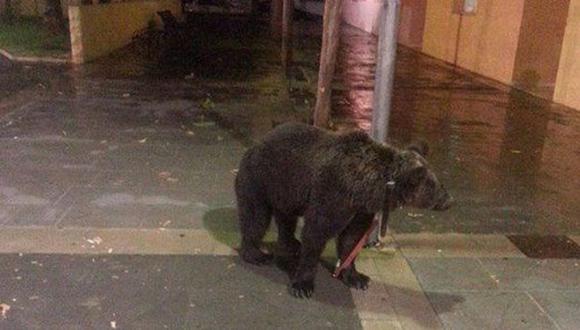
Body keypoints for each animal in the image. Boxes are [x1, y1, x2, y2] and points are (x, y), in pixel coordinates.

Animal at [233, 122, 450, 298]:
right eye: (434, 186)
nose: (450, 200)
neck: (368, 186)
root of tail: (256, 143)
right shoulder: (333, 194)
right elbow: (317, 232)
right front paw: (303, 285)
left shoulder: (361, 209)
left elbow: (351, 239)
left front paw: (357, 277)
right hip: (260, 179)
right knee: (256, 217)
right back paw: (257, 254)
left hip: (286, 191)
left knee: (286, 218)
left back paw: (291, 243)